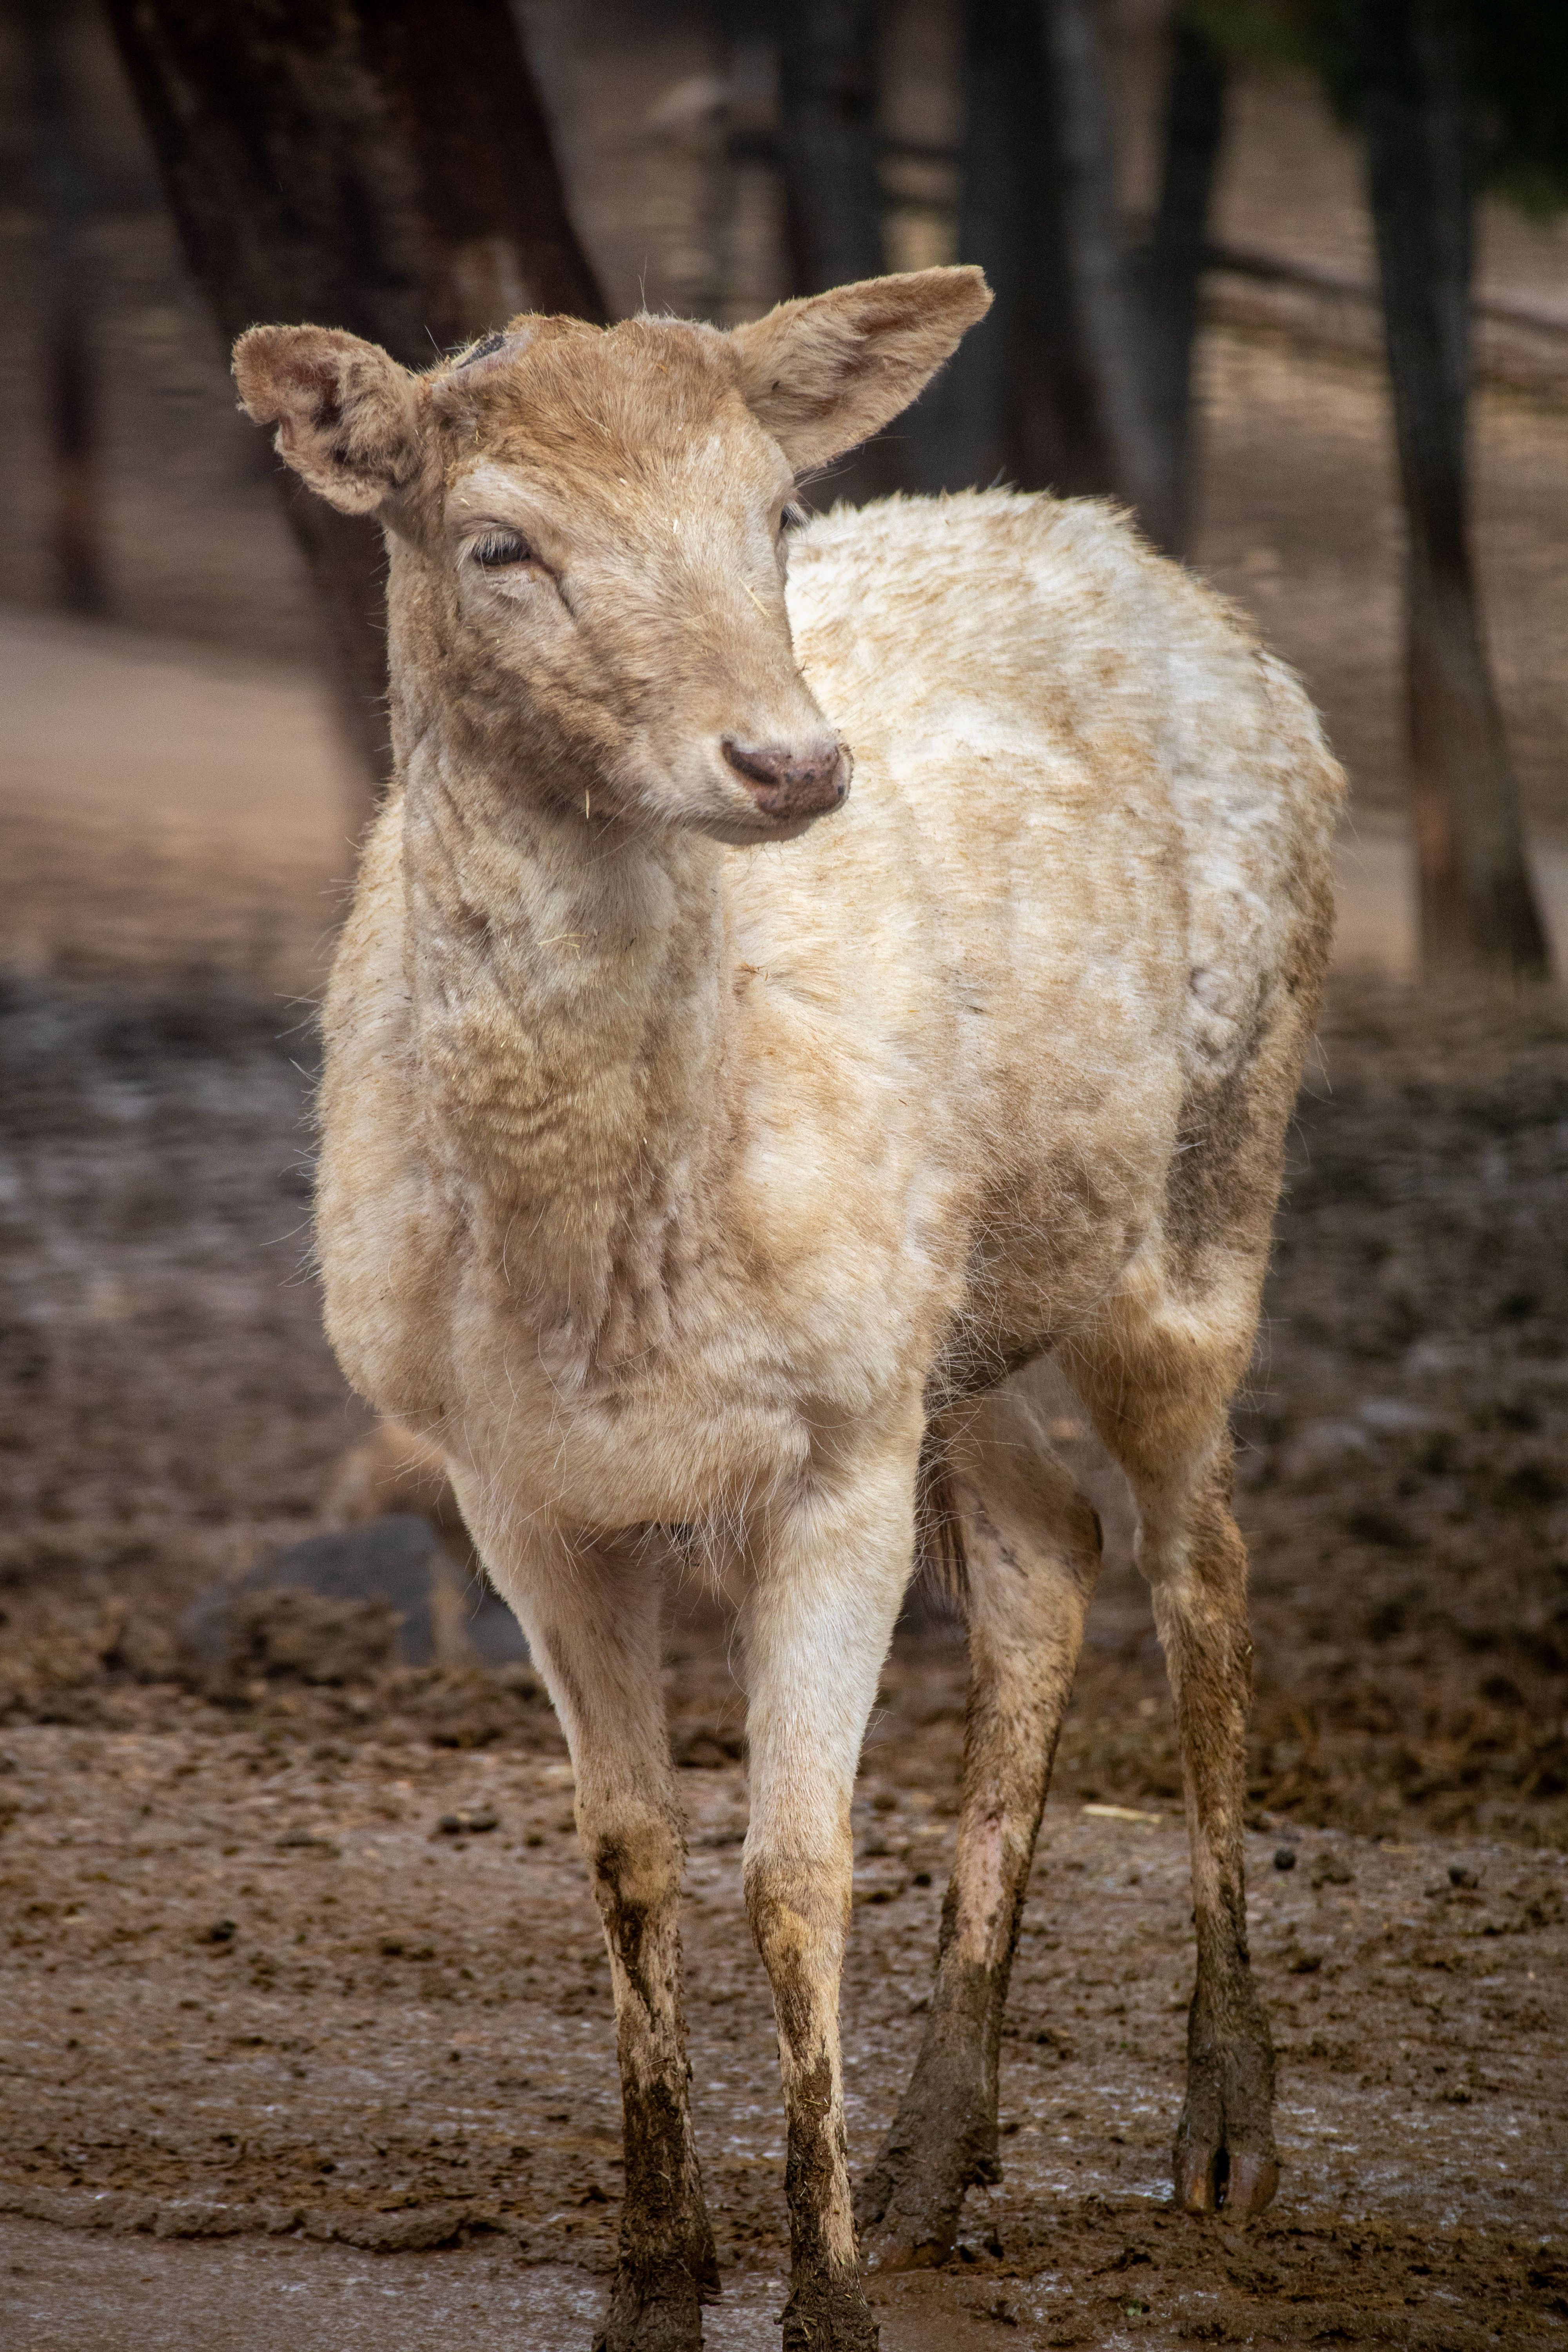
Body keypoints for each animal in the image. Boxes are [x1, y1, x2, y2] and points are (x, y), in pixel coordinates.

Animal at [234, 267, 1340, 2352]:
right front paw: (651, 2283)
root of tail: (1150, 560)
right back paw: (929, 2162)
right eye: (498, 543)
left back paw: (1222, 2133)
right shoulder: (510, 1478)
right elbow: (628, 1853)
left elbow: (798, 1870)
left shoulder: (829, 1453)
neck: (600, 1280)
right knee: (1050, 1553)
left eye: (765, 513)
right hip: (952, 1319)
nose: (790, 767)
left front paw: (814, 2299)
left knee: (1204, 1568)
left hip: (1207, 1187)